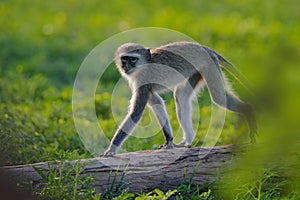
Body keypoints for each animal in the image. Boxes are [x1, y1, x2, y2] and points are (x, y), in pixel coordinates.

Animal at [102, 41, 255, 157]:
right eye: (124, 59)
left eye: (133, 59)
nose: (126, 67)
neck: (144, 64)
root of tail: (206, 48)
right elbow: (156, 101)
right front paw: (169, 140)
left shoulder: (143, 80)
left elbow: (136, 112)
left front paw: (111, 149)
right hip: (197, 71)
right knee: (181, 95)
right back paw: (187, 140)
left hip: (209, 65)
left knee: (219, 98)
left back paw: (248, 111)